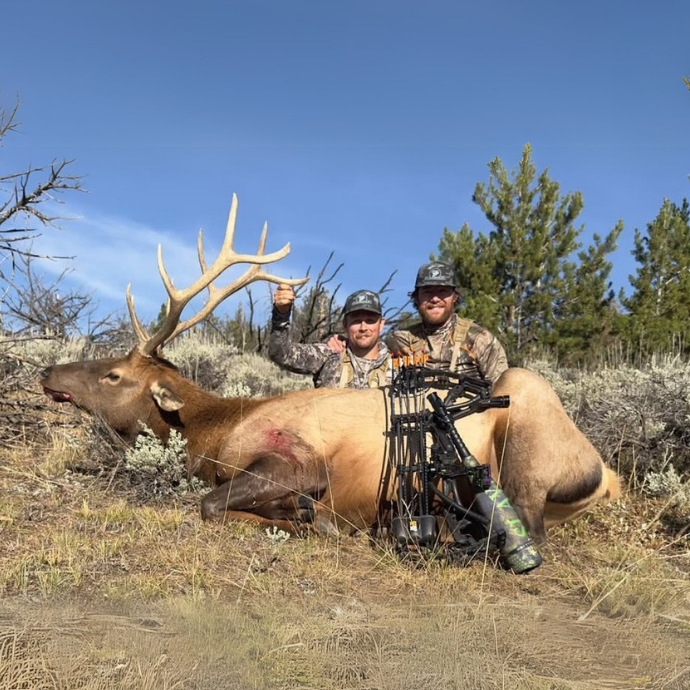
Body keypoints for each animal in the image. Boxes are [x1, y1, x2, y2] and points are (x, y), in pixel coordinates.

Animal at [40, 194, 620, 545]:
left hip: (527, 420)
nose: (48, 373)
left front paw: (304, 517)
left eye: (114, 375)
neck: (213, 430)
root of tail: (608, 478)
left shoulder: (299, 460)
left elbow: (210, 504)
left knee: (529, 525)